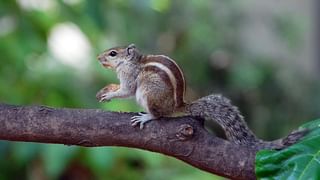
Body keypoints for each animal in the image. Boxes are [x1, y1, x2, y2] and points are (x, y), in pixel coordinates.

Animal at [95, 44, 308, 150]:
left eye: (112, 53)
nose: (98, 58)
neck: (131, 61)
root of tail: (177, 106)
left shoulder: (130, 76)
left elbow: (127, 90)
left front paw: (110, 95)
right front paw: (106, 89)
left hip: (148, 94)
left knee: (159, 115)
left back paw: (146, 116)